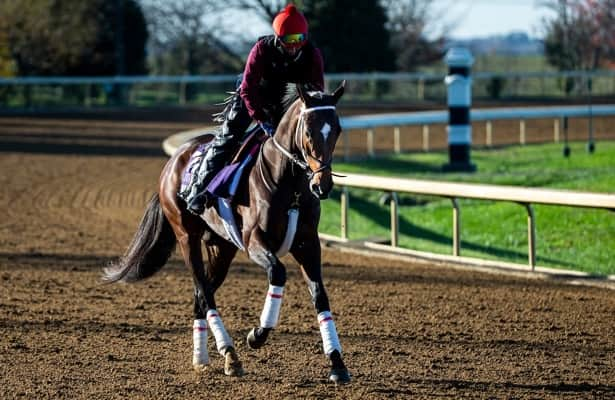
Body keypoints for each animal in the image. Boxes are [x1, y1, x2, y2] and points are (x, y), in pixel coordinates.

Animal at [104, 82, 352, 384]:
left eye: (337, 129)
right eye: (308, 131)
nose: (322, 185)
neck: (288, 185)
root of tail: (174, 161)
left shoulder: (307, 244)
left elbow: (320, 295)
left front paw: (337, 363)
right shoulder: (255, 241)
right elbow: (278, 272)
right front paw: (257, 335)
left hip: (222, 248)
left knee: (200, 295)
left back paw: (203, 358)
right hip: (187, 237)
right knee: (203, 291)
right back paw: (229, 353)